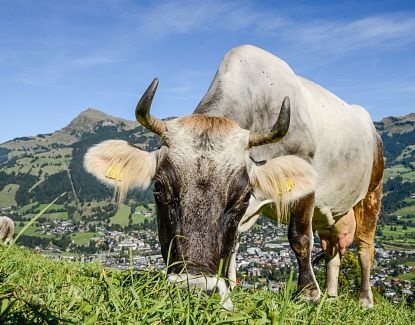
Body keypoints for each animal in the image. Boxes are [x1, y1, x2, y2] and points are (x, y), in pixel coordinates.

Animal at [84, 44, 384, 308]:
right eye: (159, 188)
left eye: (243, 196)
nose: (195, 288)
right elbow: (233, 244)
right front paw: (230, 284)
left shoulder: (305, 182)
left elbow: (299, 236)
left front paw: (308, 293)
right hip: (331, 212)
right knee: (333, 250)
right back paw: (332, 296)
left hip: (372, 193)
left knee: (364, 249)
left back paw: (364, 300)